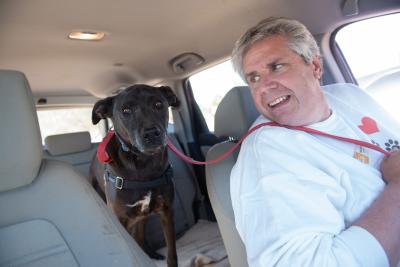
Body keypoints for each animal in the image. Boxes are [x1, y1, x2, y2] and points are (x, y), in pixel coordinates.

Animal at [90, 84, 180, 267]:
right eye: (126, 110)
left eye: (158, 104)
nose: (151, 133)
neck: (144, 165)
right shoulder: (118, 220)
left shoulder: (167, 211)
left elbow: (172, 253)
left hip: (142, 217)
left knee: (139, 237)